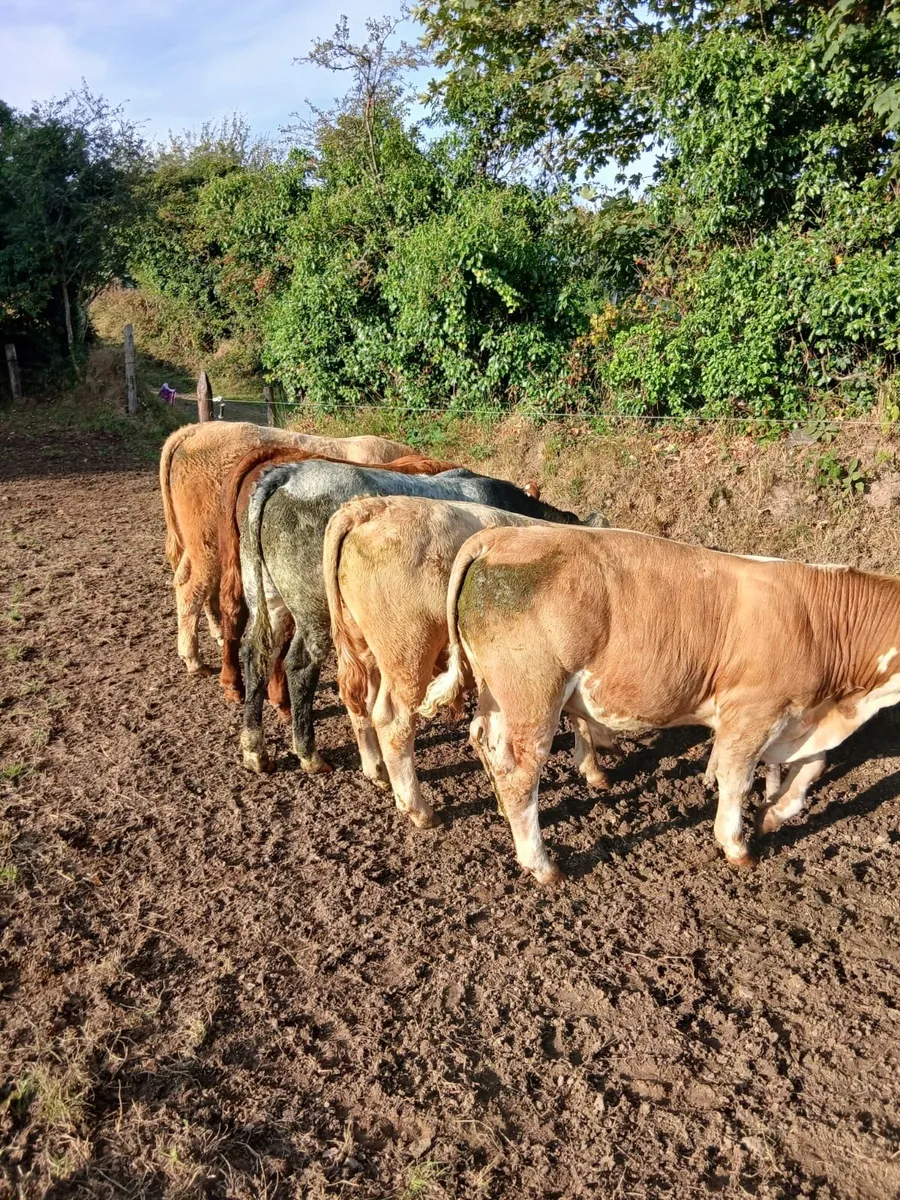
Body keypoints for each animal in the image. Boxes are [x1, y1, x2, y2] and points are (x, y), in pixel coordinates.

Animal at [159, 420, 415, 676]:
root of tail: (193, 430)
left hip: (198, 544)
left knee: (188, 581)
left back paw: (218, 634)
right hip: (206, 543)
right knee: (193, 588)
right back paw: (194, 659)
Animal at [236, 462, 595, 778]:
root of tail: (286, 473)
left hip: (268, 597)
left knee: (256, 654)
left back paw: (255, 749)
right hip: (316, 611)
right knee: (299, 665)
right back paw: (309, 754)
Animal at [323, 496, 611, 829]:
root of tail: (369, 507)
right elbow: (583, 718)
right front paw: (594, 768)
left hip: (365, 649)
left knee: (359, 704)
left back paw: (377, 771)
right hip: (409, 653)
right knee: (393, 723)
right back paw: (420, 811)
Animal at [419, 527, 900, 885]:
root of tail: (502, 534)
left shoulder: (800, 716)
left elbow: (812, 768)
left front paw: (773, 814)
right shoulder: (754, 711)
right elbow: (737, 779)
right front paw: (737, 844)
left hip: (497, 693)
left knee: (485, 743)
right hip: (533, 692)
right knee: (520, 772)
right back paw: (542, 865)